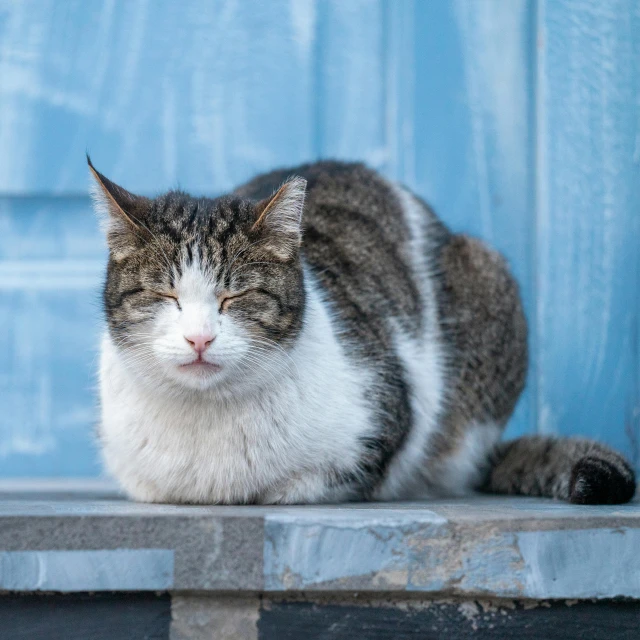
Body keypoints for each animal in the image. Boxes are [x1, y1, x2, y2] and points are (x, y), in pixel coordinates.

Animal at [90, 155, 636, 504]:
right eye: (166, 296)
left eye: (236, 297)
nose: (199, 338)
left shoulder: (383, 425)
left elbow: (300, 485)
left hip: (486, 273)